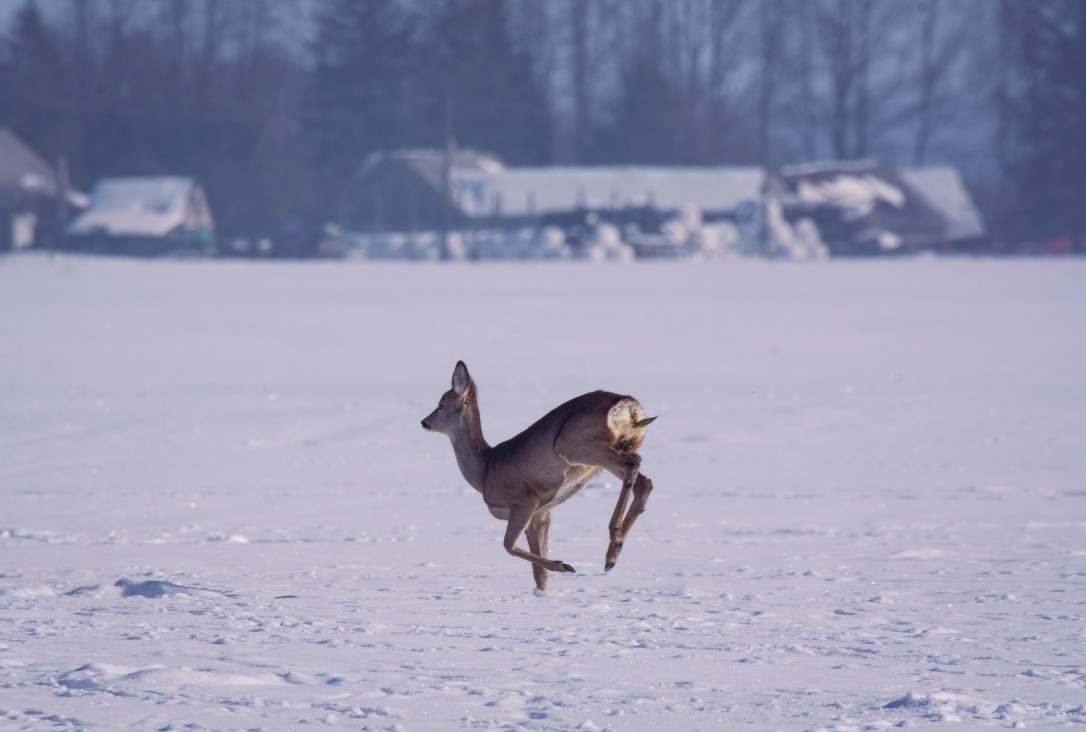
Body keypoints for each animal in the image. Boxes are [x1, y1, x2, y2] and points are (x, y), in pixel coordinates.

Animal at [421, 361, 656, 591]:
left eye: (441, 404)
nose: (424, 422)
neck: (483, 471)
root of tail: (630, 407)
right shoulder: (541, 514)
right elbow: (539, 576)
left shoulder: (525, 502)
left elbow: (508, 546)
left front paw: (564, 565)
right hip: (616, 448)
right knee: (644, 482)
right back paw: (612, 555)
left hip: (574, 445)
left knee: (633, 463)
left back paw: (613, 538)